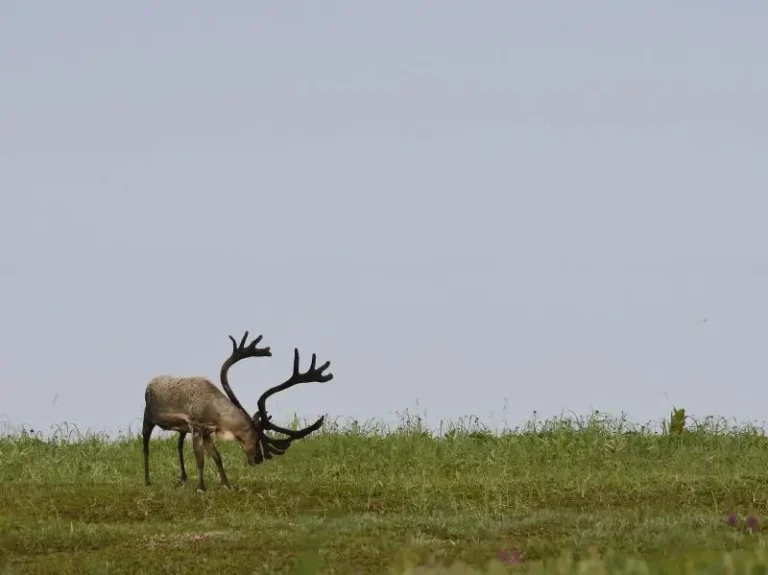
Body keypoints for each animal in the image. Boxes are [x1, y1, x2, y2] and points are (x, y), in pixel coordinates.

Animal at [142, 330, 333, 492]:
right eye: (256, 437)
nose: (258, 459)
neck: (215, 412)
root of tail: (149, 383)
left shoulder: (207, 432)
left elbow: (217, 457)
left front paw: (227, 485)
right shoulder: (196, 427)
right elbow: (201, 459)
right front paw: (201, 488)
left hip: (180, 429)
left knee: (178, 444)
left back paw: (182, 478)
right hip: (148, 417)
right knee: (146, 446)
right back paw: (148, 481)